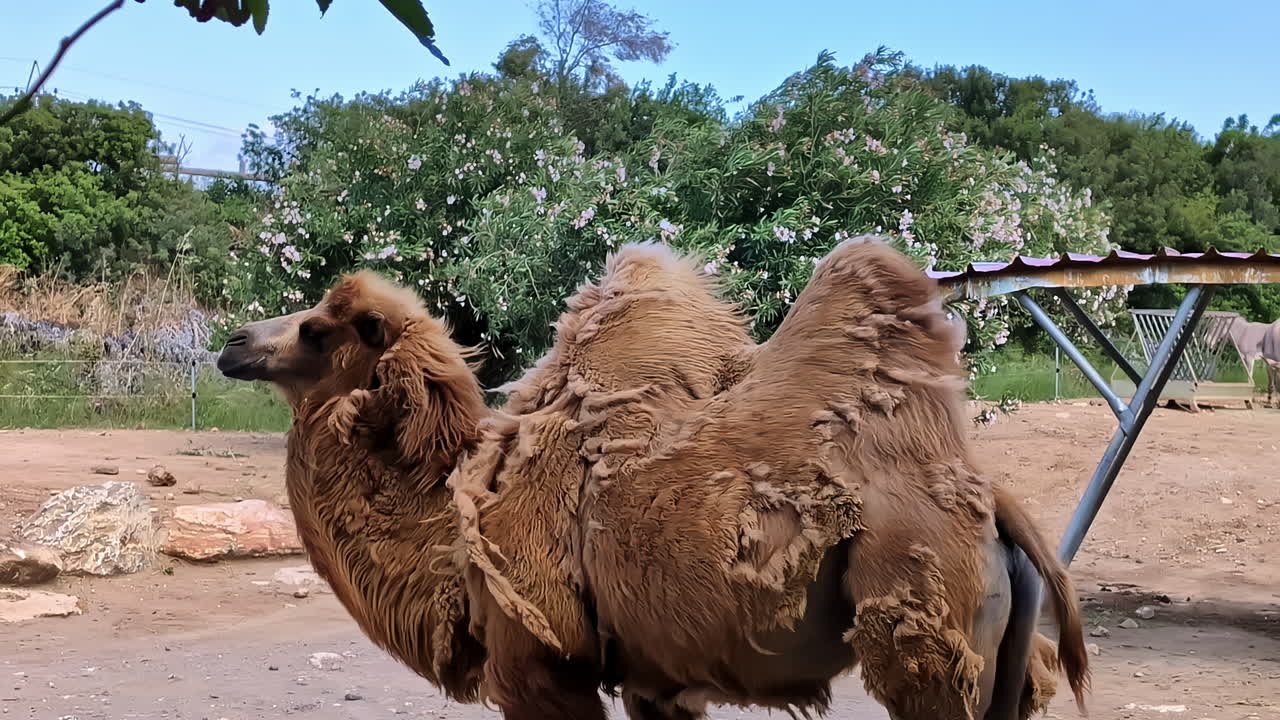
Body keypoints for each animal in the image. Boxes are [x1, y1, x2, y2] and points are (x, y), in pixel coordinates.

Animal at [216, 236, 1089, 720]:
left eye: (318, 330)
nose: (231, 343)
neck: (458, 530)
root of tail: (994, 509)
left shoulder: (541, 667)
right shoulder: (653, 678)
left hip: (924, 627)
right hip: (1001, 657)